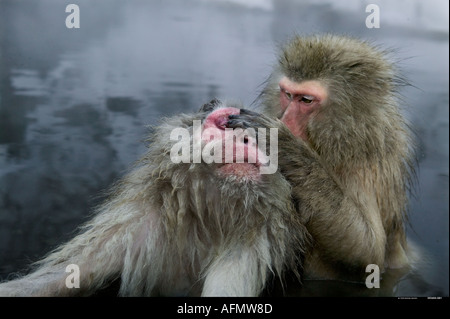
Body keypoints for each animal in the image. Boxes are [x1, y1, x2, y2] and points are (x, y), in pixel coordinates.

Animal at [0, 100, 308, 298]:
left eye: (260, 134)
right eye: (226, 125)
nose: (245, 139)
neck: (214, 213)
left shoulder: (256, 245)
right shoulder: (138, 226)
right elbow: (70, 273)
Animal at [229, 33, 418, 282]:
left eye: (306, 100)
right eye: (288, 95)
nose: (285, 120)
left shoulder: (364, 165)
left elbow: (370, 254)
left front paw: (284, 145)